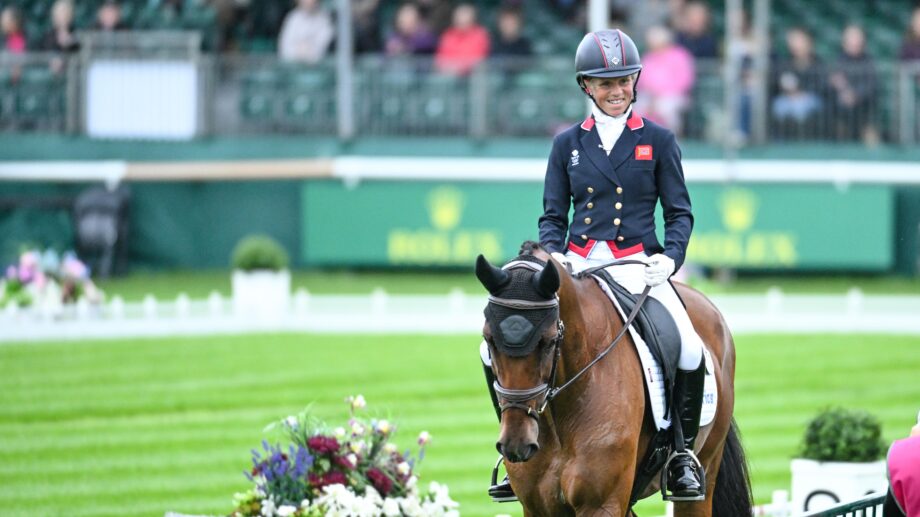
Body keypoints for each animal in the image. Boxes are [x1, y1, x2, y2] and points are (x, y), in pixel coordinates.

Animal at [478, 243, 752, 516]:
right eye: (488, 339)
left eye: (549, 341)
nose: (516, 444)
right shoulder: (539, 507)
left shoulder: (602, 504)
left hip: (704, 473)